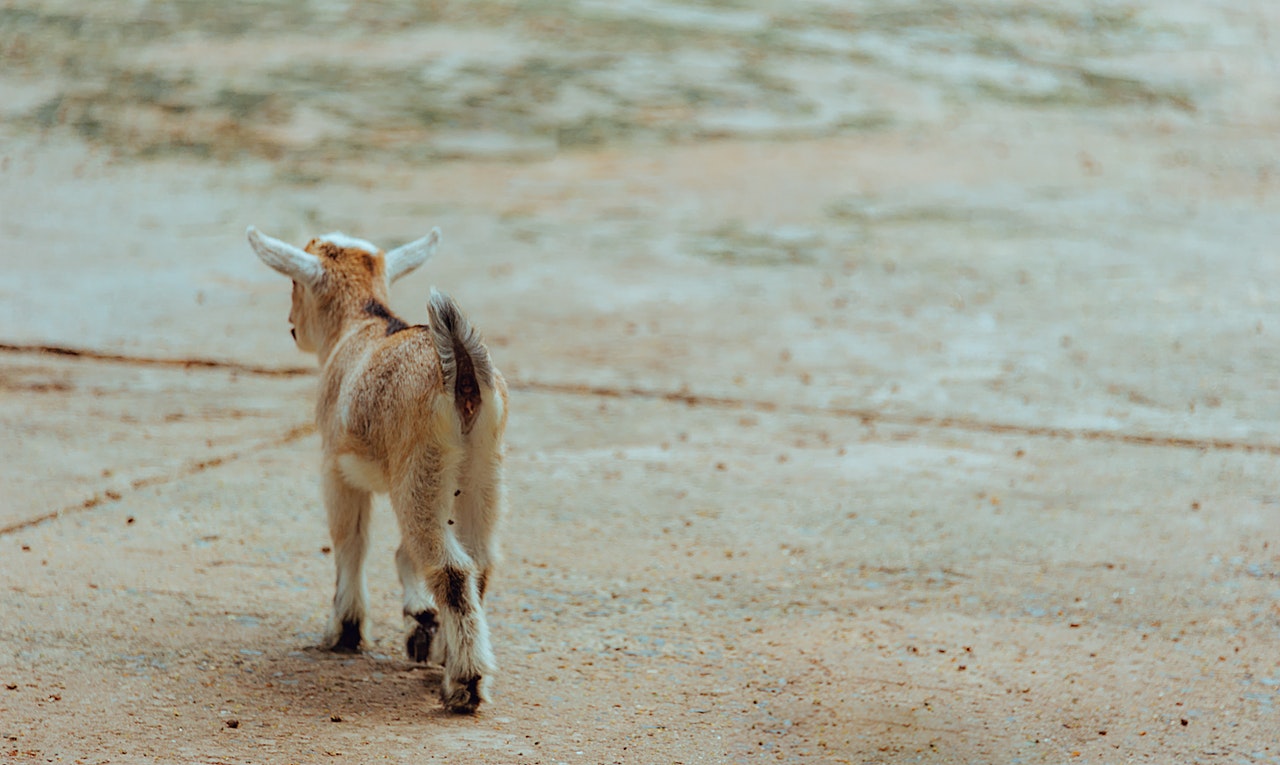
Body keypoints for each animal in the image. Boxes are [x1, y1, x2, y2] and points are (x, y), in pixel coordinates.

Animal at [247, 225, 506, 716]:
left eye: (294, 285)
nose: (292, 325)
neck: (364, 322)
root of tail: (461, 373)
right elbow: (401, 553)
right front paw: (421, 625)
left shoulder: (335, 467)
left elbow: (350, 540)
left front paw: (345, 630)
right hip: (480, 473)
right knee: (477, 562)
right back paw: (451, 660)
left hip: (421, 474)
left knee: (449, 568)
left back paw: (464, 684)